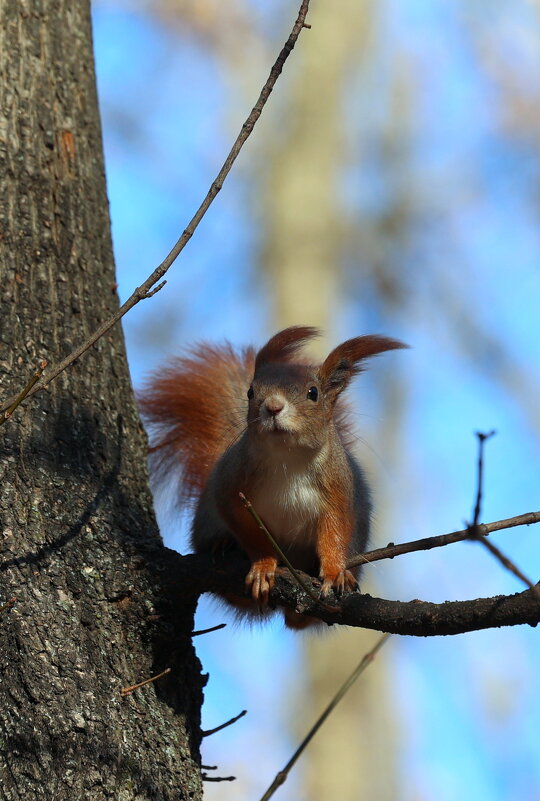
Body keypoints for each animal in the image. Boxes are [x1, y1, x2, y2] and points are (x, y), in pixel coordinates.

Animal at [139, 324, 404, 624]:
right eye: (250, 392)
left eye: (313, 393)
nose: (274, 407)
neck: (287, 457)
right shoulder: (232, 487)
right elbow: (250, 532)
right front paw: (263, 567)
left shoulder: (339, 489)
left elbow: (335, 530)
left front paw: (335, 571)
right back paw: (223, 544)